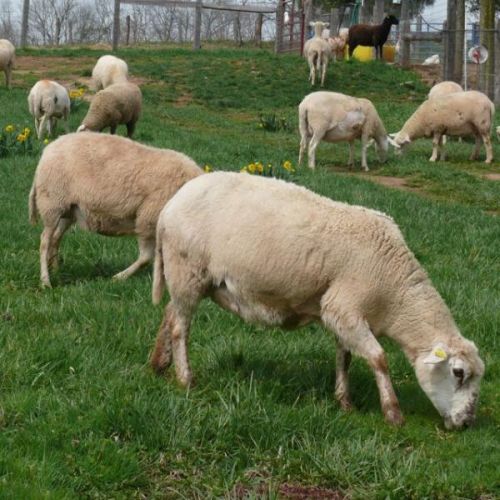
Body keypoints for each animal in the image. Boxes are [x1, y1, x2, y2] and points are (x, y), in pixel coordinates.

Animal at [27, 132, 202, 290]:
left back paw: (56, 270)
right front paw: (118, 277)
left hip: (68, 210)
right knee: (45, 241)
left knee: (56, 238)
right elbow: (146, 257)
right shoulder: (147, 220)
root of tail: (48, 150)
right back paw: (45, 281)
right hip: (52, 203)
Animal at [151, 170, 484, 428]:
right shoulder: (343, 308)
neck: (396, 295)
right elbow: (379, 358)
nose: (467, 423)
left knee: (170, 313)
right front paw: (393, 413)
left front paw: (345, 402)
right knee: (181, 327)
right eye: (458, 373)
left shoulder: (343, 316)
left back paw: (159, 364)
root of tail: (170, 205)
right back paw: (185, 378)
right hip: (187, 270)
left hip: (186, 277)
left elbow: (345, 357)